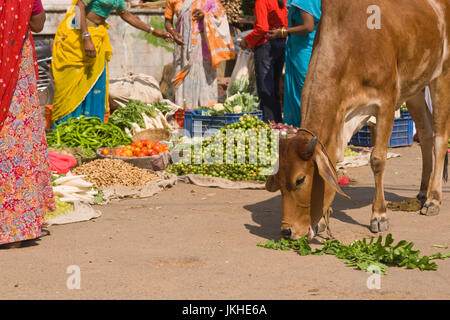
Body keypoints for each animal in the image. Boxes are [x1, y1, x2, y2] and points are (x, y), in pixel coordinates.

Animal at [266, 0, 448, 240]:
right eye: (278, 181)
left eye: (300, 180)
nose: (287, 231)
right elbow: (334, 161)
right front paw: (322, 219)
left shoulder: (385, 104)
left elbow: (378, 160)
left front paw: (379, 215)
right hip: (415, 88)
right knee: (426, 134)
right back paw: (422, 191)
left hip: (442, 76)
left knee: (440, 138)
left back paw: (433, 199)